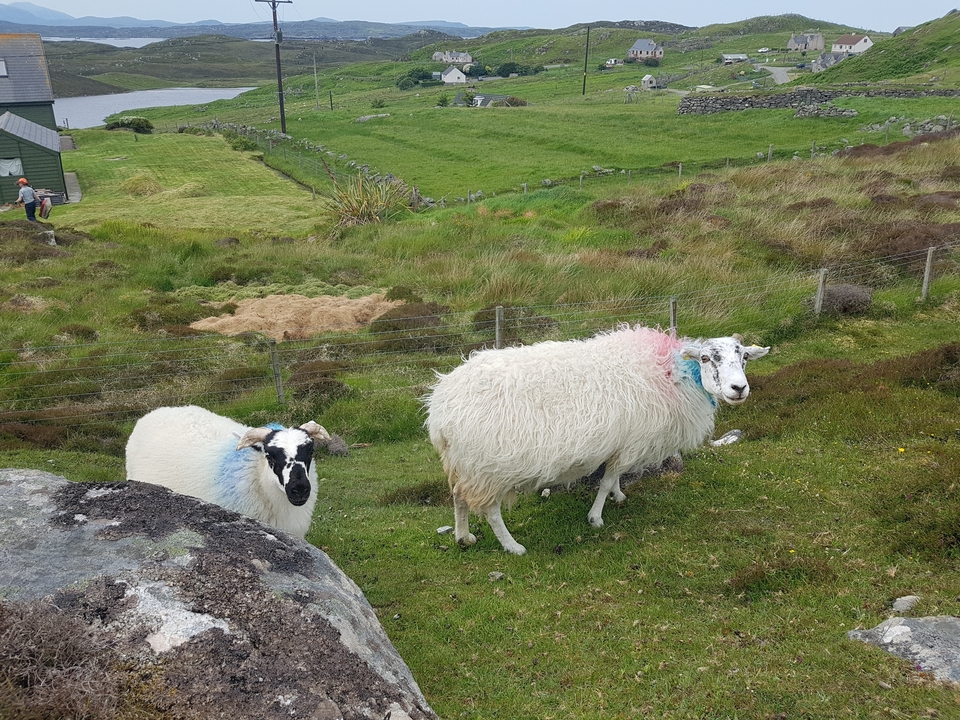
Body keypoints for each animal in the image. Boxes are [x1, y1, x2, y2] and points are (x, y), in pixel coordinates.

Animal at [423, 325, 769, 555]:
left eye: (744, 358)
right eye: (708, 358)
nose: (739, 388)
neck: (672, 373)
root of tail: (440, 406)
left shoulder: (621, 445)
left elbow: (612, 480)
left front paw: (618, 496)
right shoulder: (629, 444)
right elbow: (605, 481)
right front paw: (597, 517)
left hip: (462, 463)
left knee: (457, 497)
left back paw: (463, 537)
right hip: (487, 468)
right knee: (491, 511)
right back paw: (512, 546)